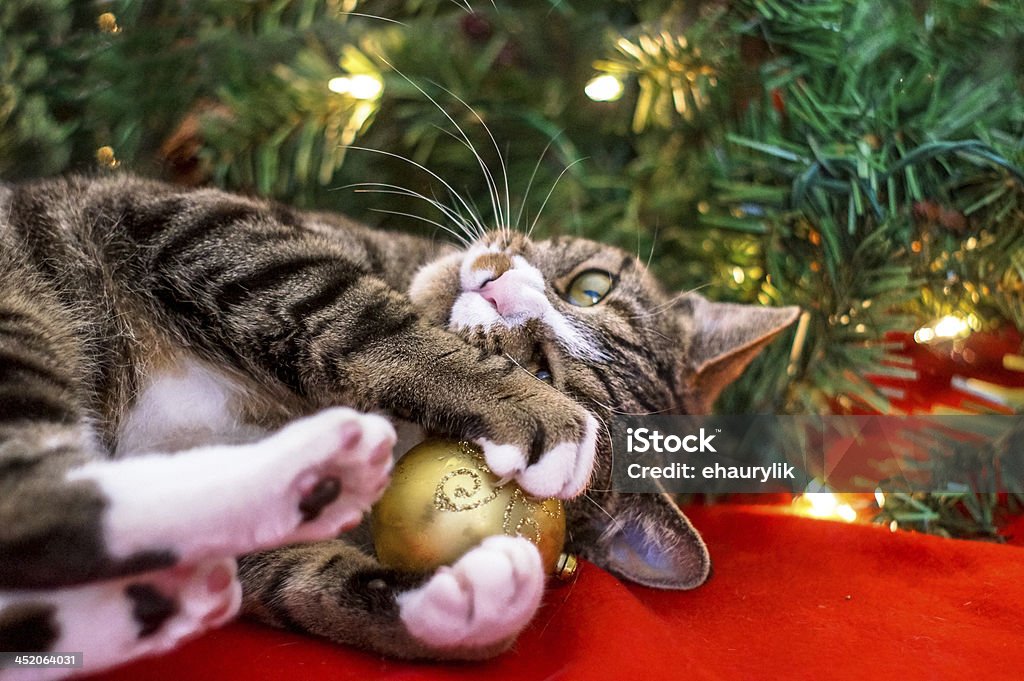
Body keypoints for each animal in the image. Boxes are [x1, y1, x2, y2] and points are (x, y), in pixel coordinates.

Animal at [0, 174, 798, 675]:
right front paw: (543, 421)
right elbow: (361, 311)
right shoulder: (195, 219)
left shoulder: (282, 557)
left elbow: (303, 579)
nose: (501, 291)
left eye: (545, 371)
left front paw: (468, 604)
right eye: (589, 287)